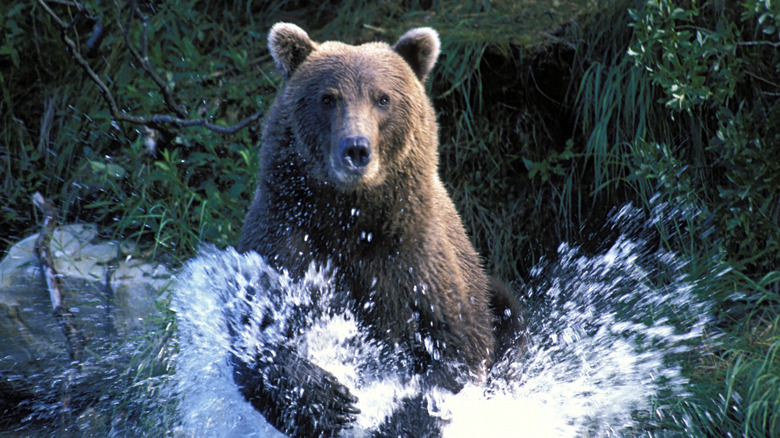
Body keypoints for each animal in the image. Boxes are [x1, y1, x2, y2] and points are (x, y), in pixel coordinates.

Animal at [235, 23, 520, 434]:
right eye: (328, 98)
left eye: (383, 98)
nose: (356, 149)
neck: (354, 217)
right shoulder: (286, 237)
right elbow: (256, 334)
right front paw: (326, 398)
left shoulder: (419, 260)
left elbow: (455, 354)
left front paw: (399, 417)